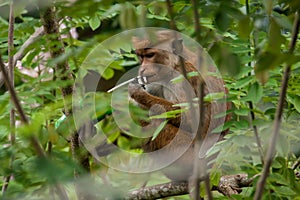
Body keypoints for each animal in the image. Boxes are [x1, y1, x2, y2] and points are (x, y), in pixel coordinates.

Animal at [128, 30, 230, 181]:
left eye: (150, 55)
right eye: (141, 56)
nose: (141, 70)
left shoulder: (181, 78)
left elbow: (190, 118)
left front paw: (138, 93)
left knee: (156, 119)